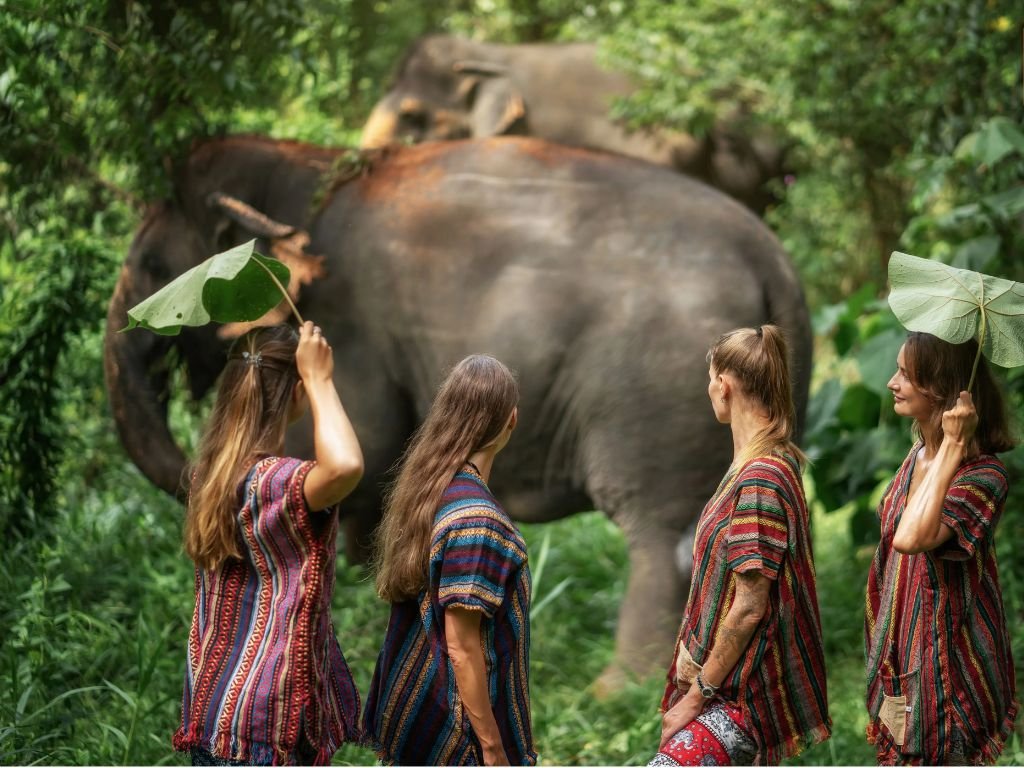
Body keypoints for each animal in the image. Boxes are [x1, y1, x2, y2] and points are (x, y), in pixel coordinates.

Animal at [104, 134, 811, 691]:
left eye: (153, 264)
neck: (310, 168)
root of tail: (775, 257)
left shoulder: (352, 325)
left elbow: (357, 443)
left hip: (656, 388)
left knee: (664, 538)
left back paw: (616, 690)